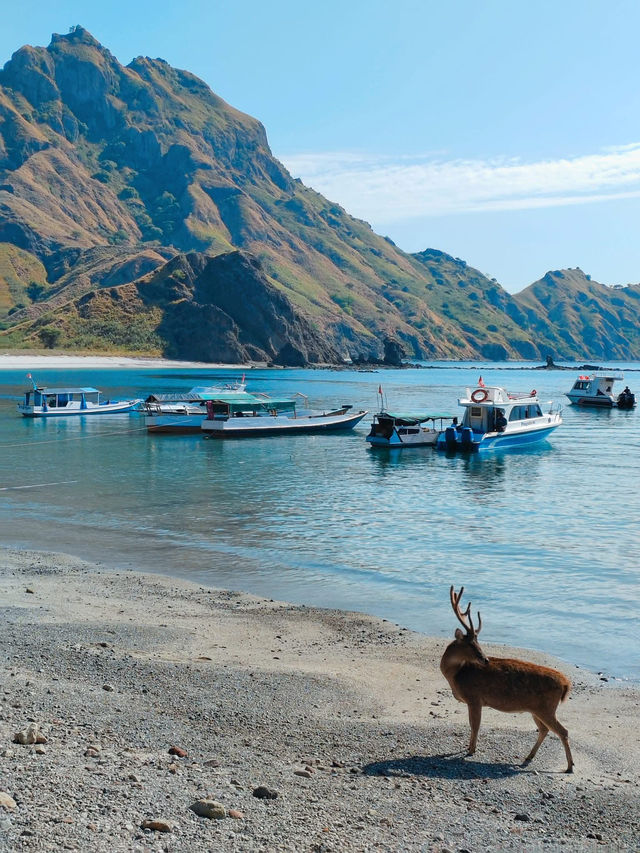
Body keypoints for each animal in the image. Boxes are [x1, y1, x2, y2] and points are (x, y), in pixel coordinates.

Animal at [440, 584, 576, 772]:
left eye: (478, 642)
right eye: (471, 644)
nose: (485, 659)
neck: (456, 674)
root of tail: (565, 684)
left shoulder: (474, 697)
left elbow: (475, 725)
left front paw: (471, 750)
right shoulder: (473, 700)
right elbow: (472, 724)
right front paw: (468, 748)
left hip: (546, 707)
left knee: (563, 731)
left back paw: (570, 766)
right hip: (537, 709)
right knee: (544, 729)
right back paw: (529, 756)